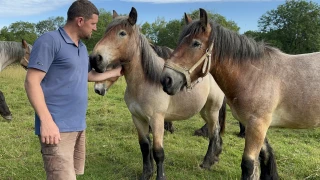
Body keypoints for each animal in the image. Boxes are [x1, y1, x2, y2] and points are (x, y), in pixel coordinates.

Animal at [89, 7, 226, 180]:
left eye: (122, 33)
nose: (95, 58)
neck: (144, 83)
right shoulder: (138, 119)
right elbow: (145, 147)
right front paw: (146, 174)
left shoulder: (157, 120)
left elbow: (158, 152)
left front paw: (159, 176)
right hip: (204, 111)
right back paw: (215, 157)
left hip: (212, 110)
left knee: (214, 133)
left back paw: (207, 162)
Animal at [161, 8, 320, 180]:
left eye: (196, 43)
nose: (166, 79)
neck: (256, 74)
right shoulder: (255, 125)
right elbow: (263, 157)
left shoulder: (257, 125)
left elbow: (248, 165)